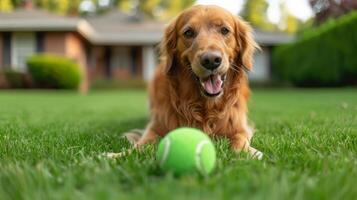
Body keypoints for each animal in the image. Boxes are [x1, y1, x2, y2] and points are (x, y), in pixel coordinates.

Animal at [108, 4, 262, 159]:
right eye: (188, 33)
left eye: (224, 30)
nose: (211, 60)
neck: (205, 107)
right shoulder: (156, 126)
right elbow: (142, 144)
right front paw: (117, 155)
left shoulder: (239, 127)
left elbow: (240, 139)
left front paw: (248, 152)